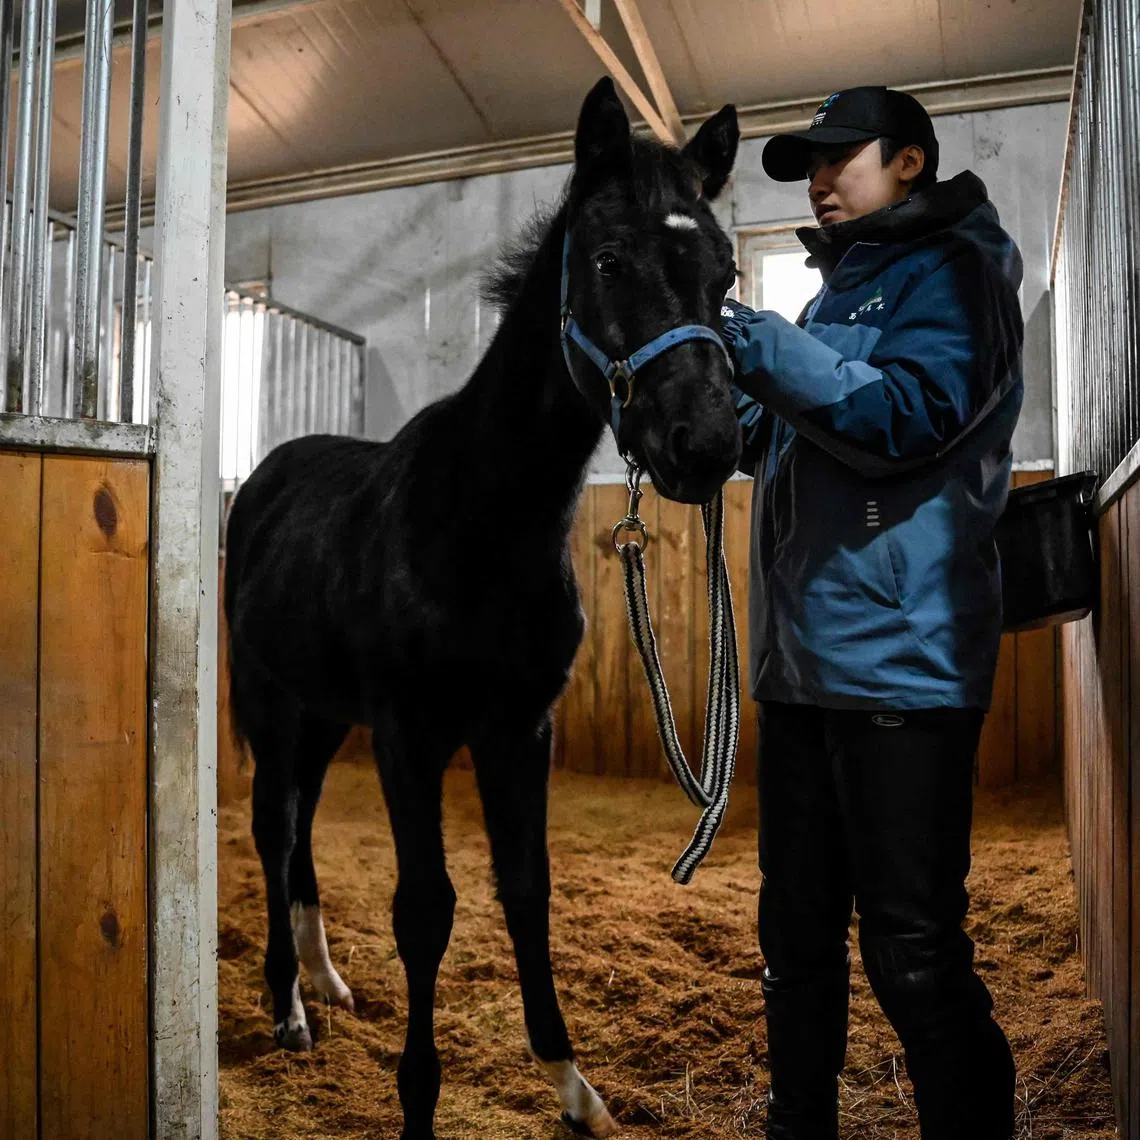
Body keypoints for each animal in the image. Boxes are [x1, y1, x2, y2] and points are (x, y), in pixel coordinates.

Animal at [223, 76, 742, 1140]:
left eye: (724, 275)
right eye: (609, 260)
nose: (707, 443)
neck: (479, 516)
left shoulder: (519, 728)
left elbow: (527, 888)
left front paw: (573, 1086)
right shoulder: (410, 734)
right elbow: (426, 909)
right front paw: (418, 1101)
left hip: (325, 715)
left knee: (299, 835)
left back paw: (325, 980)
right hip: (272, 704)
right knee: (274, 828)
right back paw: (288, 1005)